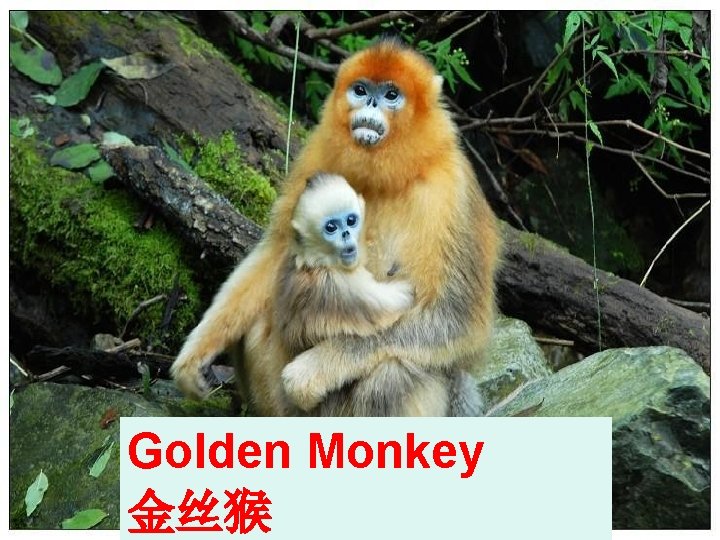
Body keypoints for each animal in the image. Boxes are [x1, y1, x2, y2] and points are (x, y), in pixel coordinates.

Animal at [171, 38, 500, 416]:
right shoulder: (318, 152)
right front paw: (196, 354)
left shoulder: (451, 189)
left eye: (391, 94)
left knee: (394, 370)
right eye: (361, 90)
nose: (371, 102)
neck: (386, 177)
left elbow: (456, 321)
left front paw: (312, 371)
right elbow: (277, 252)